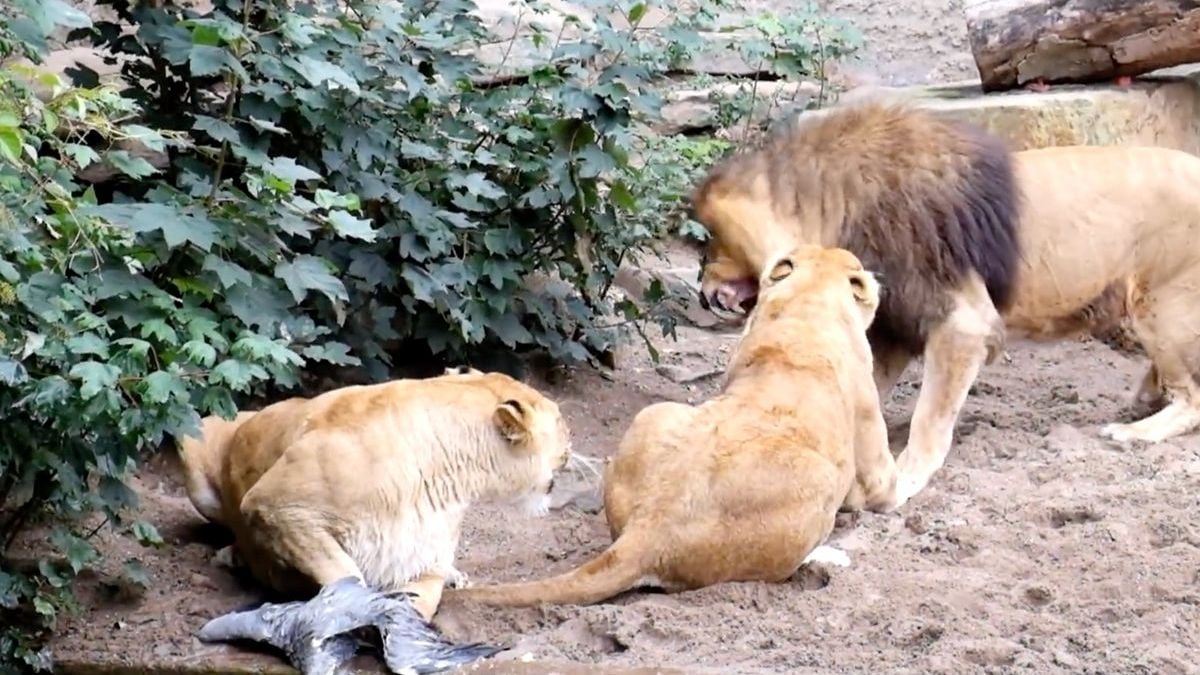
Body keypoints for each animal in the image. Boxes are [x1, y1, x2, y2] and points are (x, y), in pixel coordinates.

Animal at [175, 367, 576, 672]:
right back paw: (233, 557)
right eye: (559, 420)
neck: (447, 471)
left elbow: (420, 601)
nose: (572, 442)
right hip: (194, 436)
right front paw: (356, 613)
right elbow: (344, 574)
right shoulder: (275, 505)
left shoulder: (426, 559)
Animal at [446, 242, 897, 605]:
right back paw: (829, 555)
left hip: (656, 414)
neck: (809, 306)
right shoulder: (874, 464)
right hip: (818, 485)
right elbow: (890, 489)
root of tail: (652, 528)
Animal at [696, 97, 1200, 502]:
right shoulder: (896, 324)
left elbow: (930, 415)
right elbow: (865, 393)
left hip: (1161, 307)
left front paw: (907, 477)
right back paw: (1144, 397)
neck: (843, 208)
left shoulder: (962, 322)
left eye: (713, 240)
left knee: (1192, 399)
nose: (703, 292)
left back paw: (1135, 431)